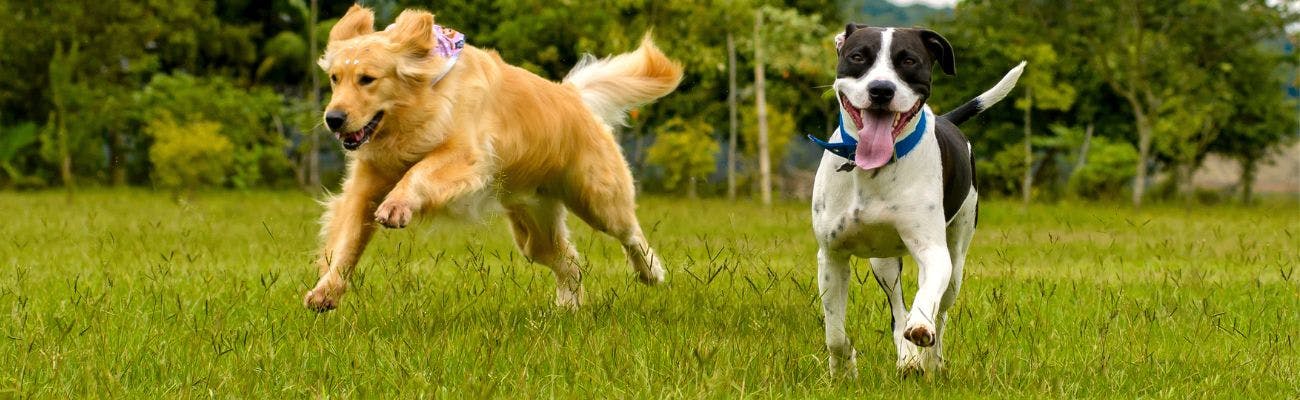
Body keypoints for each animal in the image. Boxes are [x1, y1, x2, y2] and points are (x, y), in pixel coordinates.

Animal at [806, 24, 1019, 374]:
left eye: (909, 61)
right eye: (858, 57)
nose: (881, 89)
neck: (873, 170)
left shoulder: (932, 251)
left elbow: (926, 301)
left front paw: (920, 331)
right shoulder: (831, 256)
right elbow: (834, 333)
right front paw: (843, 369)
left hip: (956, 260)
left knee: (940, 311)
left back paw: (929, 359)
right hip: (883, 263)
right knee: (897, 309)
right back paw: (907, 357)